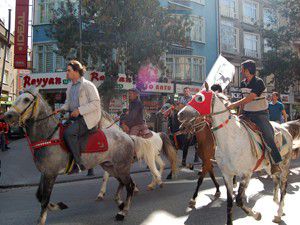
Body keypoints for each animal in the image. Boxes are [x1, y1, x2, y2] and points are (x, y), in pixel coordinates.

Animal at [4, 89, 137, 224]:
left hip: (121, 167)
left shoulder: (50, 174)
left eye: (26, 99)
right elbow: (39, 196)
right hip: (110, 166)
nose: (7, 116)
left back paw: (123, 212)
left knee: (130, 186)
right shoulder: (45, 173)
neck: (49, 137)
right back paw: (120, 204)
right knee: (123, 182)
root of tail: (127, 136)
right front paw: (58, 206)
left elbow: (44, 199)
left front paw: (42, 219)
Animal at [177, 83, 294, 224]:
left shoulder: (245, 173)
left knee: (283, 185)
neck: (230, 140)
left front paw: (256, 215)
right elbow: (229, 203)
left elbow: (238, 200)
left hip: (284, 165)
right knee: (276, 180)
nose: (180, 115)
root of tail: (284, 128)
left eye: (200, 98)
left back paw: (279, 212)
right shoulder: (225, 173)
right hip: (269, 166)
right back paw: (276, 202)